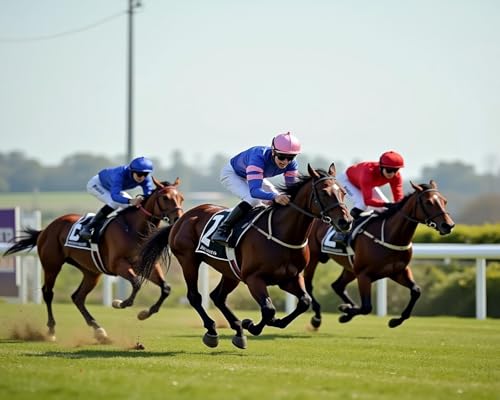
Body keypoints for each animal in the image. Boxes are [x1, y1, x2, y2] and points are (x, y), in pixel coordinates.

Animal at [3, 178, 184, 344]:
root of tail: (46, 229)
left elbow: (166, 288)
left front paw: (145, 313)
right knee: (48, 293)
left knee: (78, 297)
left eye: (181, 198)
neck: (134, 229)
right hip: (52, 265)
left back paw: (99, 331)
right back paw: (51, 330)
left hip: (91, 272)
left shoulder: (148, 265)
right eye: (165, 197)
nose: (178, 218)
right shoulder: (118, 265)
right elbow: (136, 283)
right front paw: (120, 303)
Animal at [137, 164, 352, 348]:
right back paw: (213, 331)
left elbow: (303, 302)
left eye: (343, 191)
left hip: (230, 271)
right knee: (195, 296)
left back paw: (238, 331)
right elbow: (268, 309)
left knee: (218, 297)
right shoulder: (253, 278)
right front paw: (252, 325)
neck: (283, 233)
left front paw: (266, 323)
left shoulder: (289, 278)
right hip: (189, 260)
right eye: (324, 193)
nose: (346, 221)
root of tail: (183, 217)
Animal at [302, 180, 456, 330]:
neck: (391, 235)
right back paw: (317, 318)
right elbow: (366, 307)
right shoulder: (364, 275)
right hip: (314, 258)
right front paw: (345, 311)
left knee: (337, 286)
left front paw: (395, 321)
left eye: (445, 201)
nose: (448, 225)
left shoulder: (398, 271)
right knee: (309, 285)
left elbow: (416, 291)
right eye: (429, 202)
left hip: (351, 268)